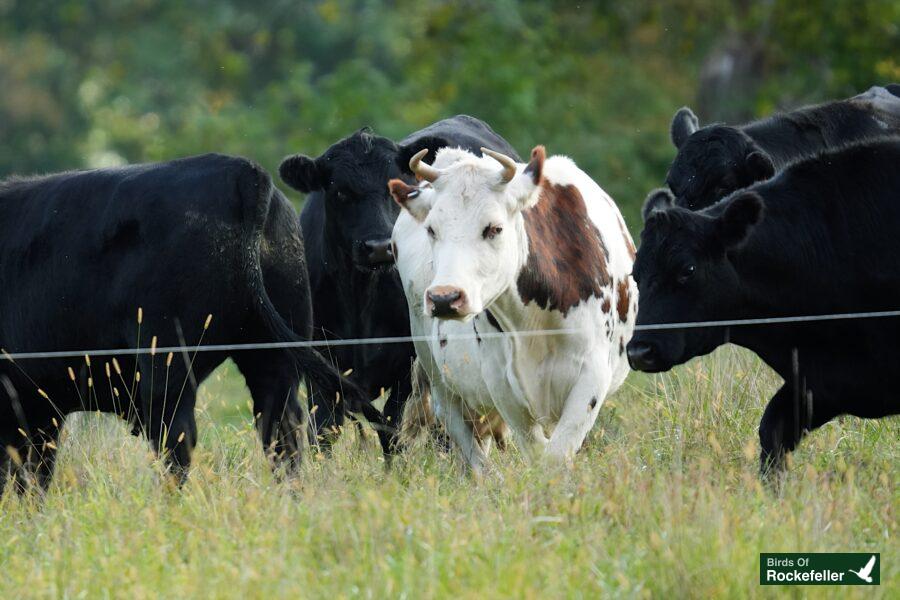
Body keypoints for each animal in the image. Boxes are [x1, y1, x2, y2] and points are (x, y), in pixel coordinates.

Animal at [0, 152, 370, 490]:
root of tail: (242, 170)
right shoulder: (40, 409)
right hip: (275, 357)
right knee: (282, 434)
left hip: (166, 365)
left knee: (176, 443)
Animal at [276, 115, 520, 450]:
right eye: (340, 192)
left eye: (397, 188)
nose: (379, 246)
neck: (361, 295)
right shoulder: (322, 361)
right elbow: (324, 430)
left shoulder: (407, 364)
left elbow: (392, 430)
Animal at [390, 143, 636, 476]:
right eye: (431, 229)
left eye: (494, 228)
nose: (444, 298)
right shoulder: (501, 383)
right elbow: (539, 452)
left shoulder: (593, 373)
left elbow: (556, 455)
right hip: (435, 368)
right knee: (462, 434)